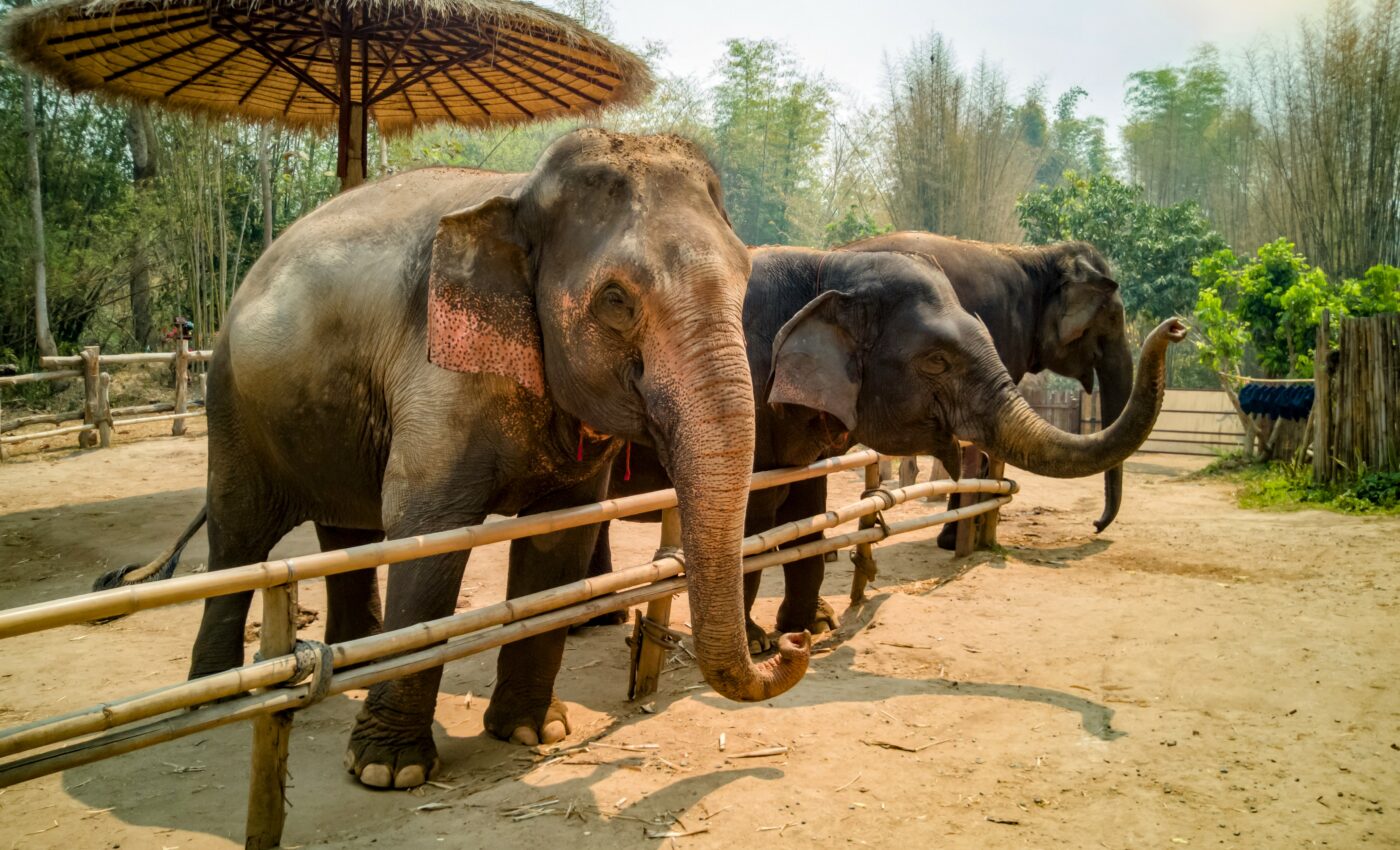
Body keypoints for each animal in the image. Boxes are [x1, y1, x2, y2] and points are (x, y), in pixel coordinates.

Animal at [109, 129, 811, 790]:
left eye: (744, 281)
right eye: (616, 298)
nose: (793, 642)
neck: (519, 193)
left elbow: (560, 542)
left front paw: (533, 731)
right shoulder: (436, 374)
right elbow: (426, 534)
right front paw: (389, 771)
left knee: (346, 530)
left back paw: (359, 661)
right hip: (232, 400)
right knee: (239, 536)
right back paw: (212, 697)